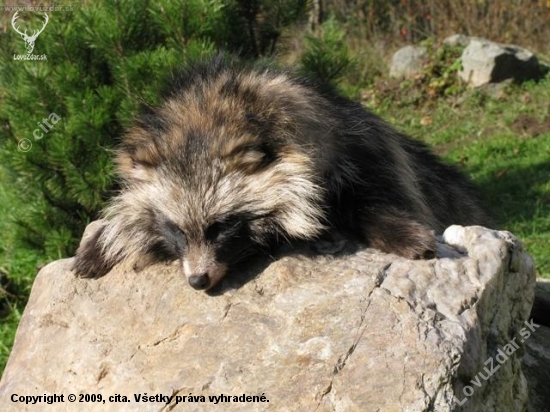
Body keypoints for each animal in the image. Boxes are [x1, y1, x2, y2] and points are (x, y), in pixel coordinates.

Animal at [73, 56, 492, 292]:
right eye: (175, 230)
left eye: (220, 227)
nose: (197, 281)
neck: (206, 118)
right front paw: (104, 240)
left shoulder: (351, 143)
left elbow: (371, 194)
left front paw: (394, 227)